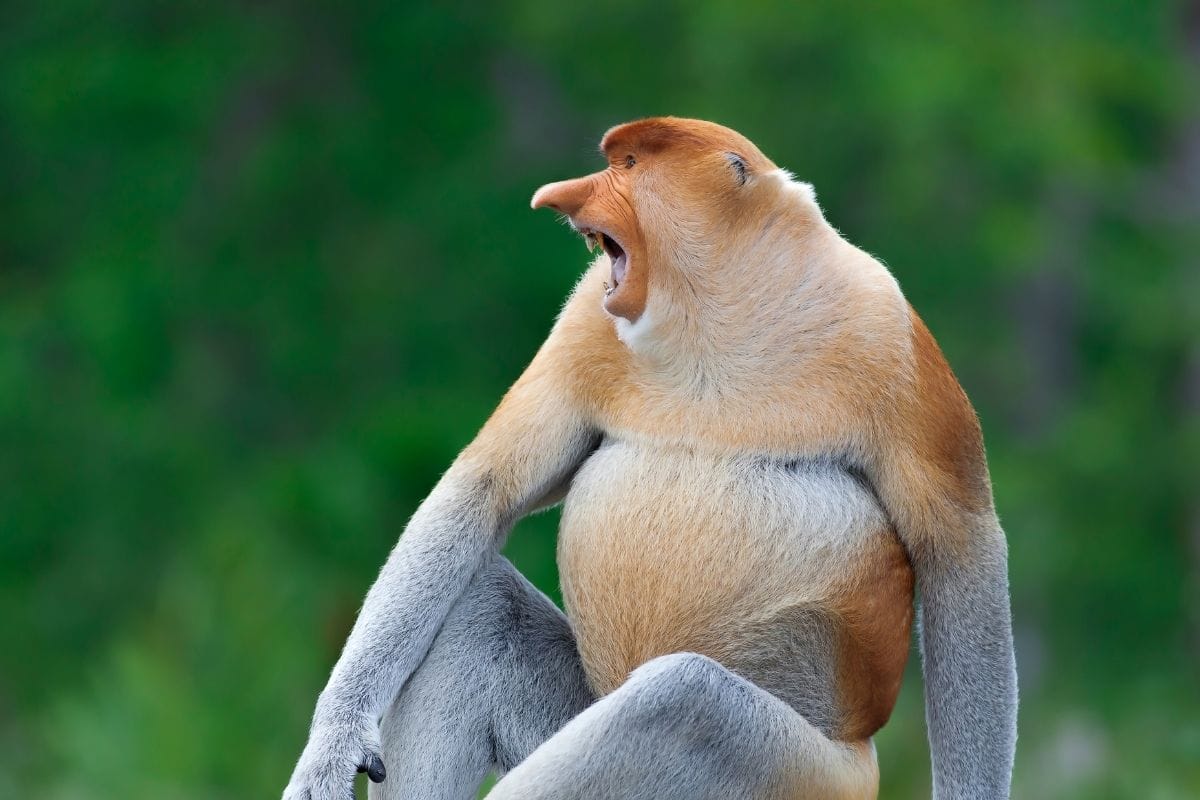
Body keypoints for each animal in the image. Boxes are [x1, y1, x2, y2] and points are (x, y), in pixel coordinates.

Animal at [281, 117, 1017, 800]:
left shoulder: (889, 332)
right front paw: (333, 744)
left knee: (682, 701)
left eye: (631, 165)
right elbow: (485, 488)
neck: (716, 312)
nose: (556, 195)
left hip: (804, 774)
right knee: (480, 611)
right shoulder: (586, 320)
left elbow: (960, 550)